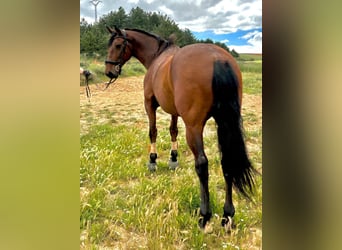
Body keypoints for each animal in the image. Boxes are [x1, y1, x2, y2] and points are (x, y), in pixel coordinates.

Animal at [105, 25, 255, 230]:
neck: (157, 57)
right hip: (224, 123)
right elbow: (173, 130)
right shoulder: (174, 110)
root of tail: (218, 58)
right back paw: (227, 215)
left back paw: (204, 215)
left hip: (194, 127)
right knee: (227, 162)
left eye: (118, 45)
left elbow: (153, 131)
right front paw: (173, 158)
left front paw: (152, 160)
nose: (108, 71)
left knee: (202, 164)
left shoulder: (149, 104)